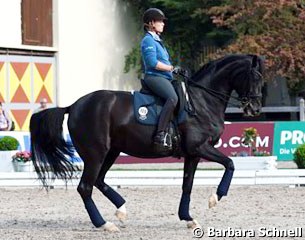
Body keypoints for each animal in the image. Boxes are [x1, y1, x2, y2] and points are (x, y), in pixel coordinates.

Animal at [30, 54, 264, 231]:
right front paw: (215, 197)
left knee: (98, 181)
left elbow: (187, 185)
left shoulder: (193, 154)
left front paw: (188, 218)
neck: (201, 101)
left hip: (111, 152)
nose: (255, 108)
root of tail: (73, 105)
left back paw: (121, 210)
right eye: (253, 77)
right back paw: (104, 224)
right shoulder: (200, 147)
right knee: (85, 187)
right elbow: (230, 164)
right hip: (95, 154)